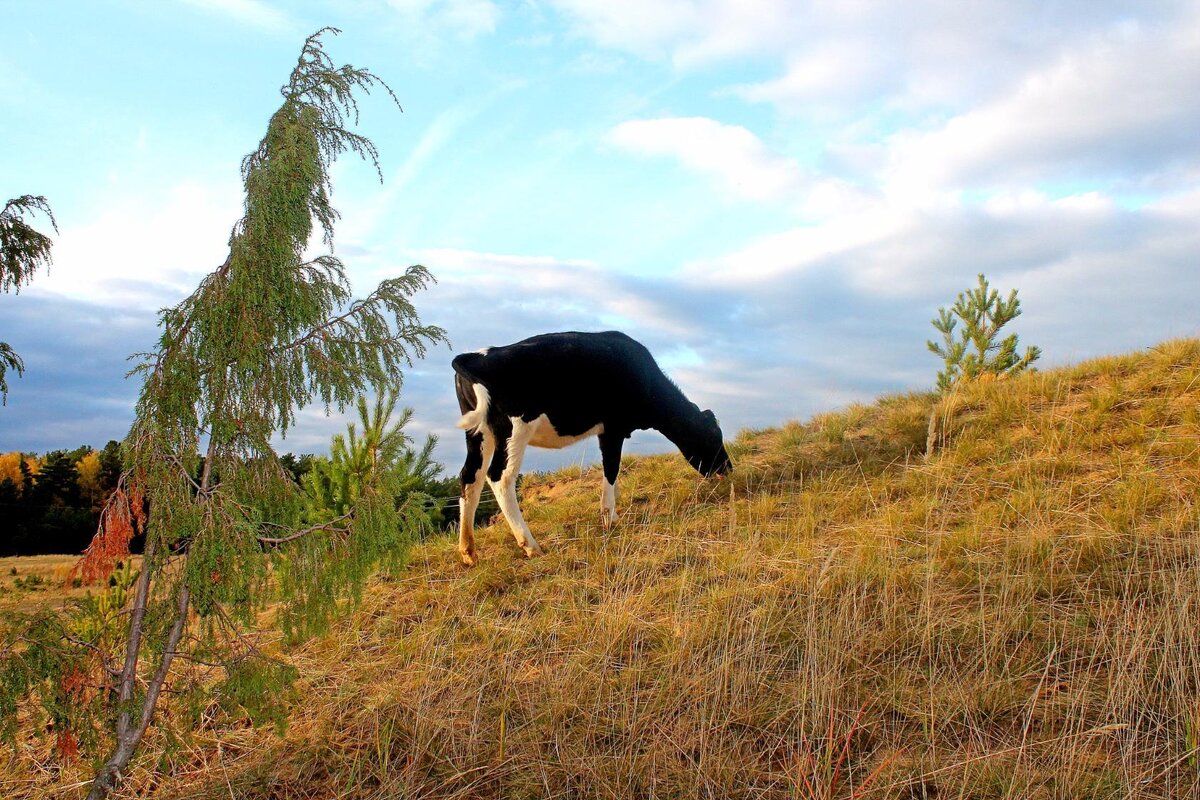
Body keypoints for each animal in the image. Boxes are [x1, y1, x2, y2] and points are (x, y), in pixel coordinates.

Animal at [451, 328, 729, 566]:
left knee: (470, 478)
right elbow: (611, 467)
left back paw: (468, 552)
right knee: (500, 477)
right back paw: (531, 545)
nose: (728, 467)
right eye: (714, 436)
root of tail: (476, 356)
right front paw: (610, 516)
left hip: (479, 432)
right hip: (515, 428)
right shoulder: (613, 427)